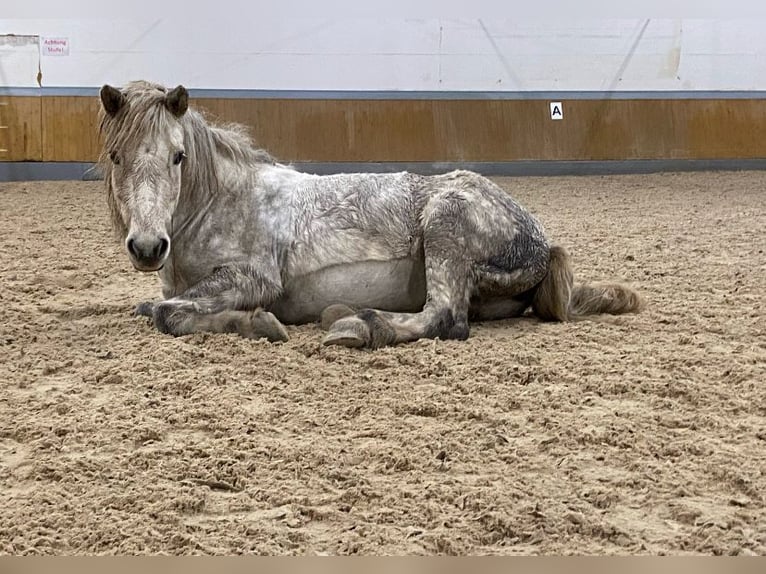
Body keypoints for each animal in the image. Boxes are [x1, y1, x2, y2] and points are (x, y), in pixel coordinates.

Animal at [97, 80, 644, 349]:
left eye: (178, 156)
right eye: (116, 157)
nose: (148, 247)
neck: (222, 203)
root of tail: (540, 243)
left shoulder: (251, 278)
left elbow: (167, 315)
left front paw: (259, 325)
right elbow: (155, 308)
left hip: (445, 226)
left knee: (447, 319)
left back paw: (358, 327)